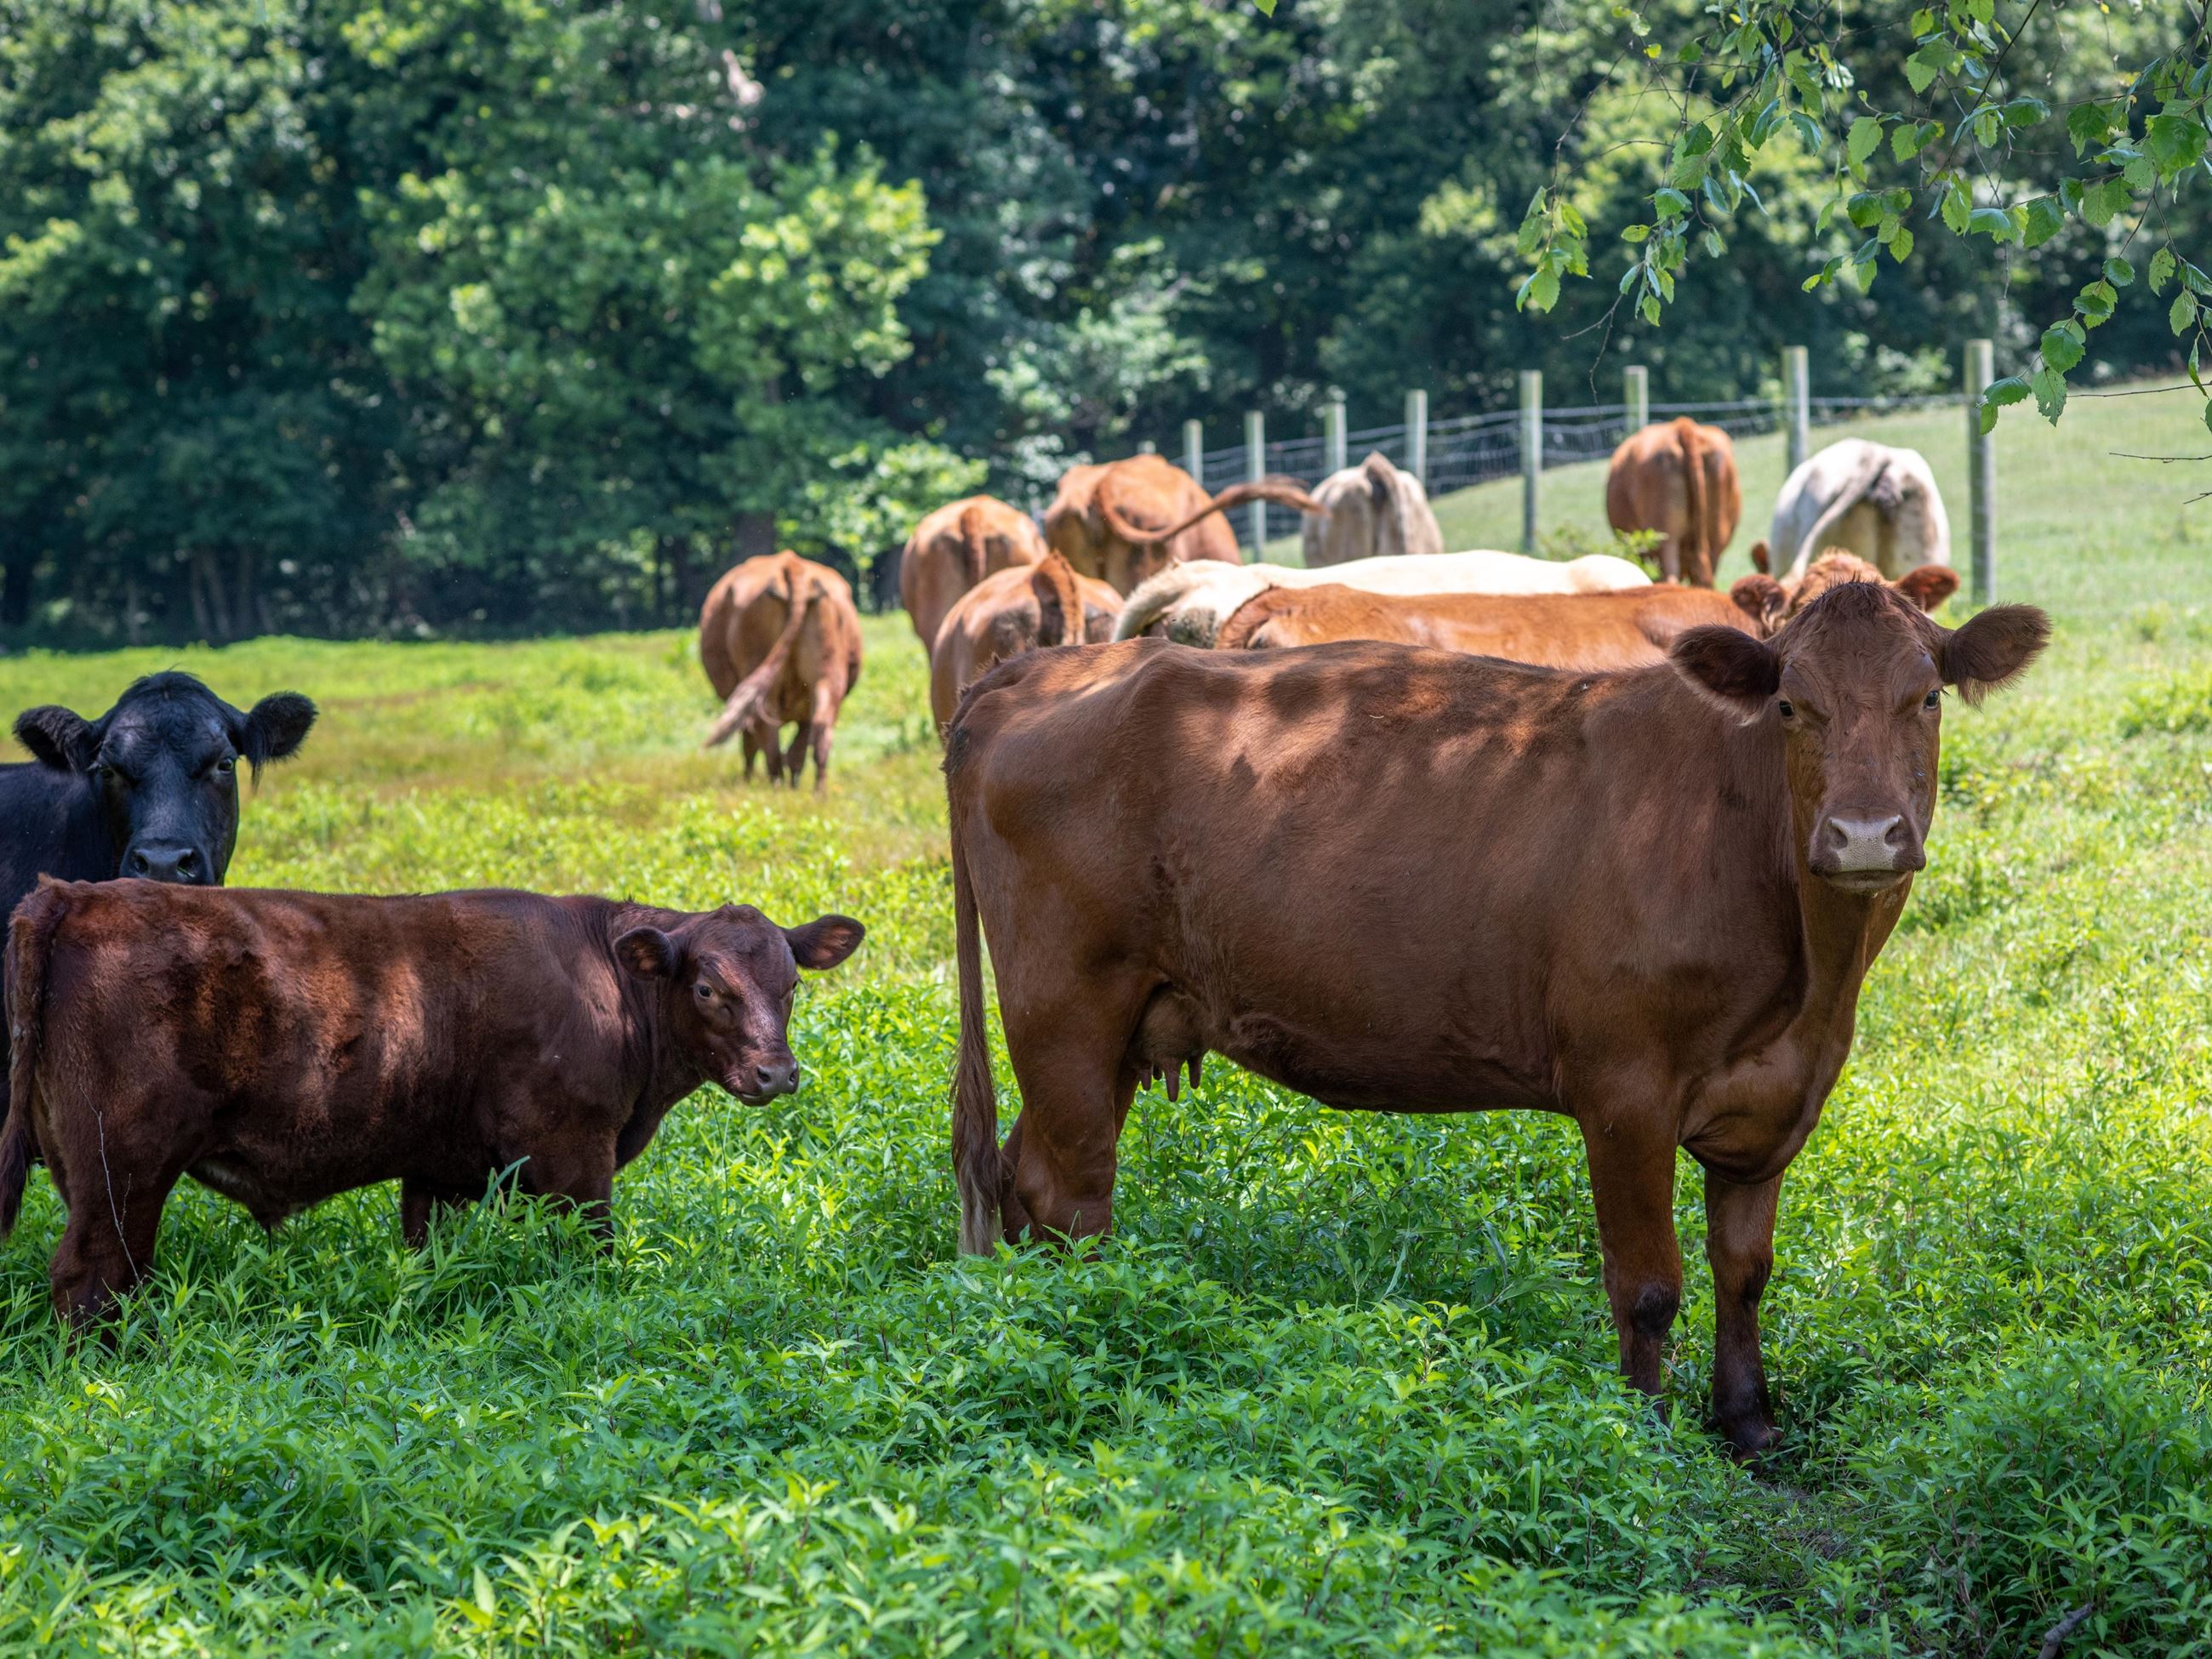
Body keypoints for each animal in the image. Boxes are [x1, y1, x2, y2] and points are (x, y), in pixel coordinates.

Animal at [0, 879, 864, 1328]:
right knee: (92, 1275)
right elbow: (591, 1255)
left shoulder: (441, 1171)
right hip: (124, 1163)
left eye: (791, 984)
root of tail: (76, 893)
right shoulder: (574, 1156)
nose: (776, 1073)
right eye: (710, 989)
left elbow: (429, 1259)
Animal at [699, 551, 864, 792]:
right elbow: (799, 748)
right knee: (820, 730)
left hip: (766, 688)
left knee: (768, 739)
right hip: (827, 679)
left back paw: (776, 787)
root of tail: (791, 565)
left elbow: (751, 744)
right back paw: (818, 792)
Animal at [943, 574, 2047, 1457]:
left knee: (1019, 1176)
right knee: (1064, 1192)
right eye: (1789, 702)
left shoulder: (1774, 1100)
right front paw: (1645, 1439)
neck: (1809, 975)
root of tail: (1041, 667)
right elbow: (1648, 1285)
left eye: (1926, 696)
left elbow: (1745, 1270)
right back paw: (1083, 1338)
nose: (1863, 834)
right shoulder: (1623, 1088)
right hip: (1063, 1009)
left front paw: (1747, 1424)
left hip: (1120, 1028)